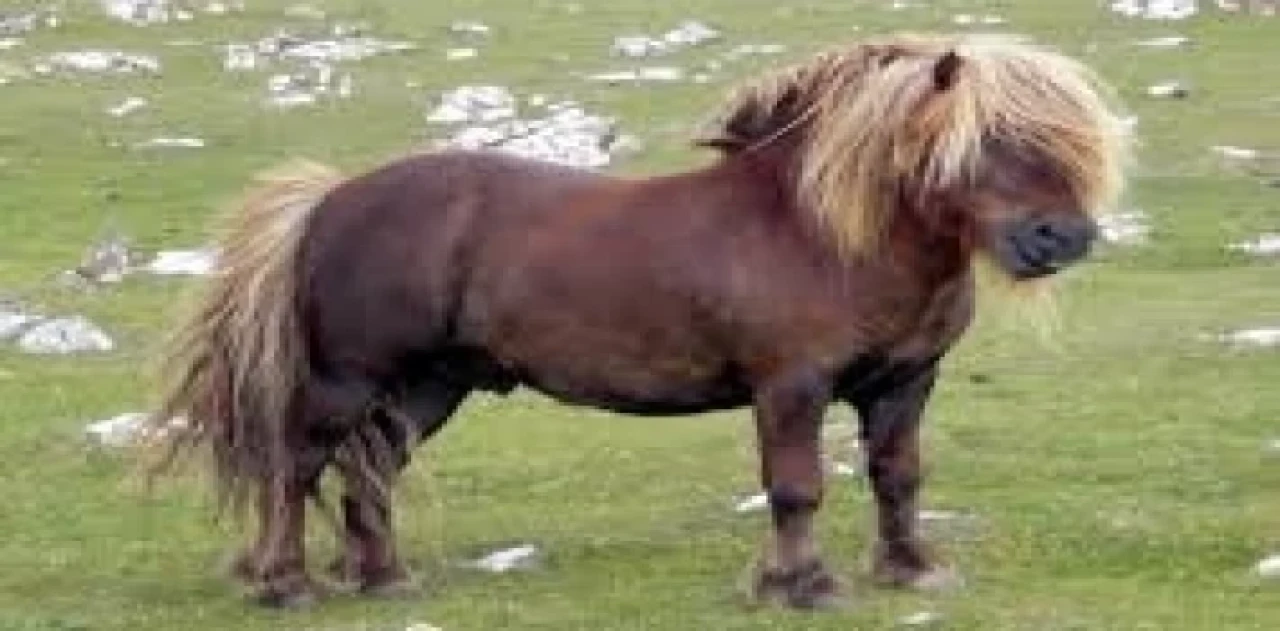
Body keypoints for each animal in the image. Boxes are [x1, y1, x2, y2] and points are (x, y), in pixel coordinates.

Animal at [145, 33, 1130, 610]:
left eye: (1065, 139)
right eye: (984, 140)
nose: (1062, 236)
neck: (824, 232)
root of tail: (332, 200)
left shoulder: (905, 383)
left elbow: (898, 477)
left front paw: (912, 567)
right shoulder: (791, 388)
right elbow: (797, 487)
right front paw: (801, 584)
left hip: (432, 386)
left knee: (372, 469)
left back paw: (387, 579)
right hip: (347, 380)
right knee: (296, 467)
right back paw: (285, 584)